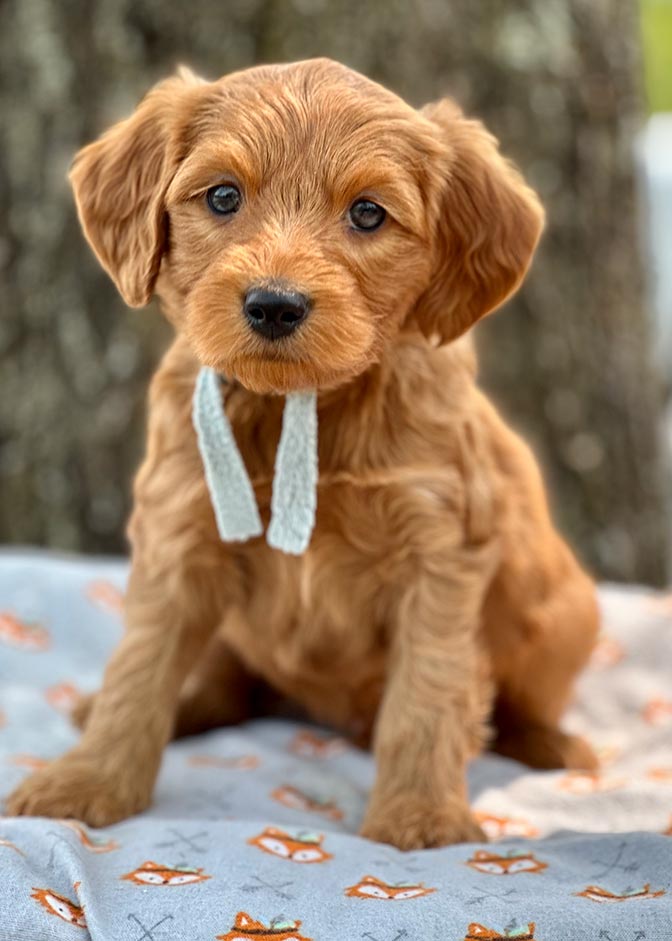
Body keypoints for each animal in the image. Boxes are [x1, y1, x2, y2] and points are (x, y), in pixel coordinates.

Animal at [7, 60, 600, 852]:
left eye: (369, 215)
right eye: (223, 196)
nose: (274, 305)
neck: (301, 406)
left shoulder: (439, 553)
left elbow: (428, 692)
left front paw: (420, 818)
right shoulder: (179, 532)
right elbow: (142, 668)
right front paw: (88, 781)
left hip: (563, 613)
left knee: (521, 702)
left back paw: (551, 744)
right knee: (221, 684)